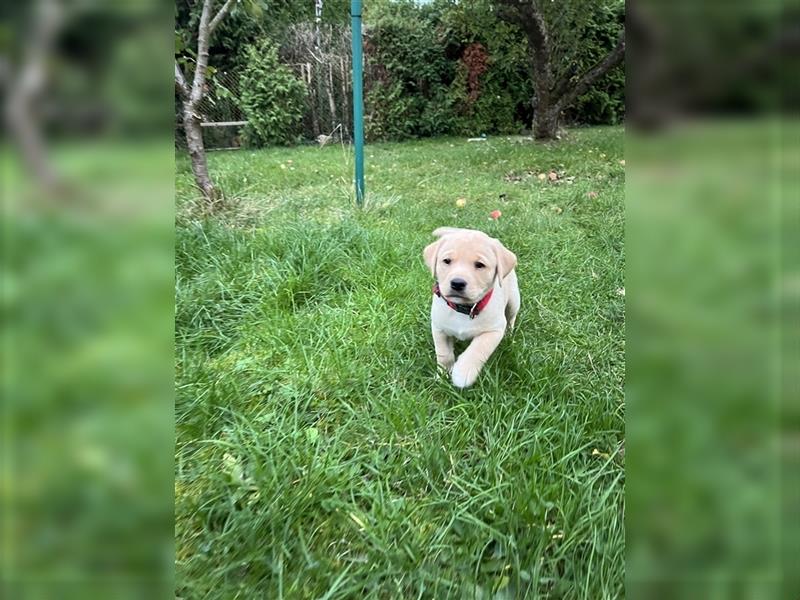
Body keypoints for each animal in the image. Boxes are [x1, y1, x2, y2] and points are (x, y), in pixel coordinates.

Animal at [422, 226, 520, 390]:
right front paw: (442, 375)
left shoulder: (493, 331)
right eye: (446, 261)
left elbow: (477, 350)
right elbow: (443, 354)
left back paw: (509, 335)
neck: (464, 309)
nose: (457, 283)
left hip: (514, 299)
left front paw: (462, 373)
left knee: (511, 318)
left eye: (480, 265)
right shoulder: (439, 328)